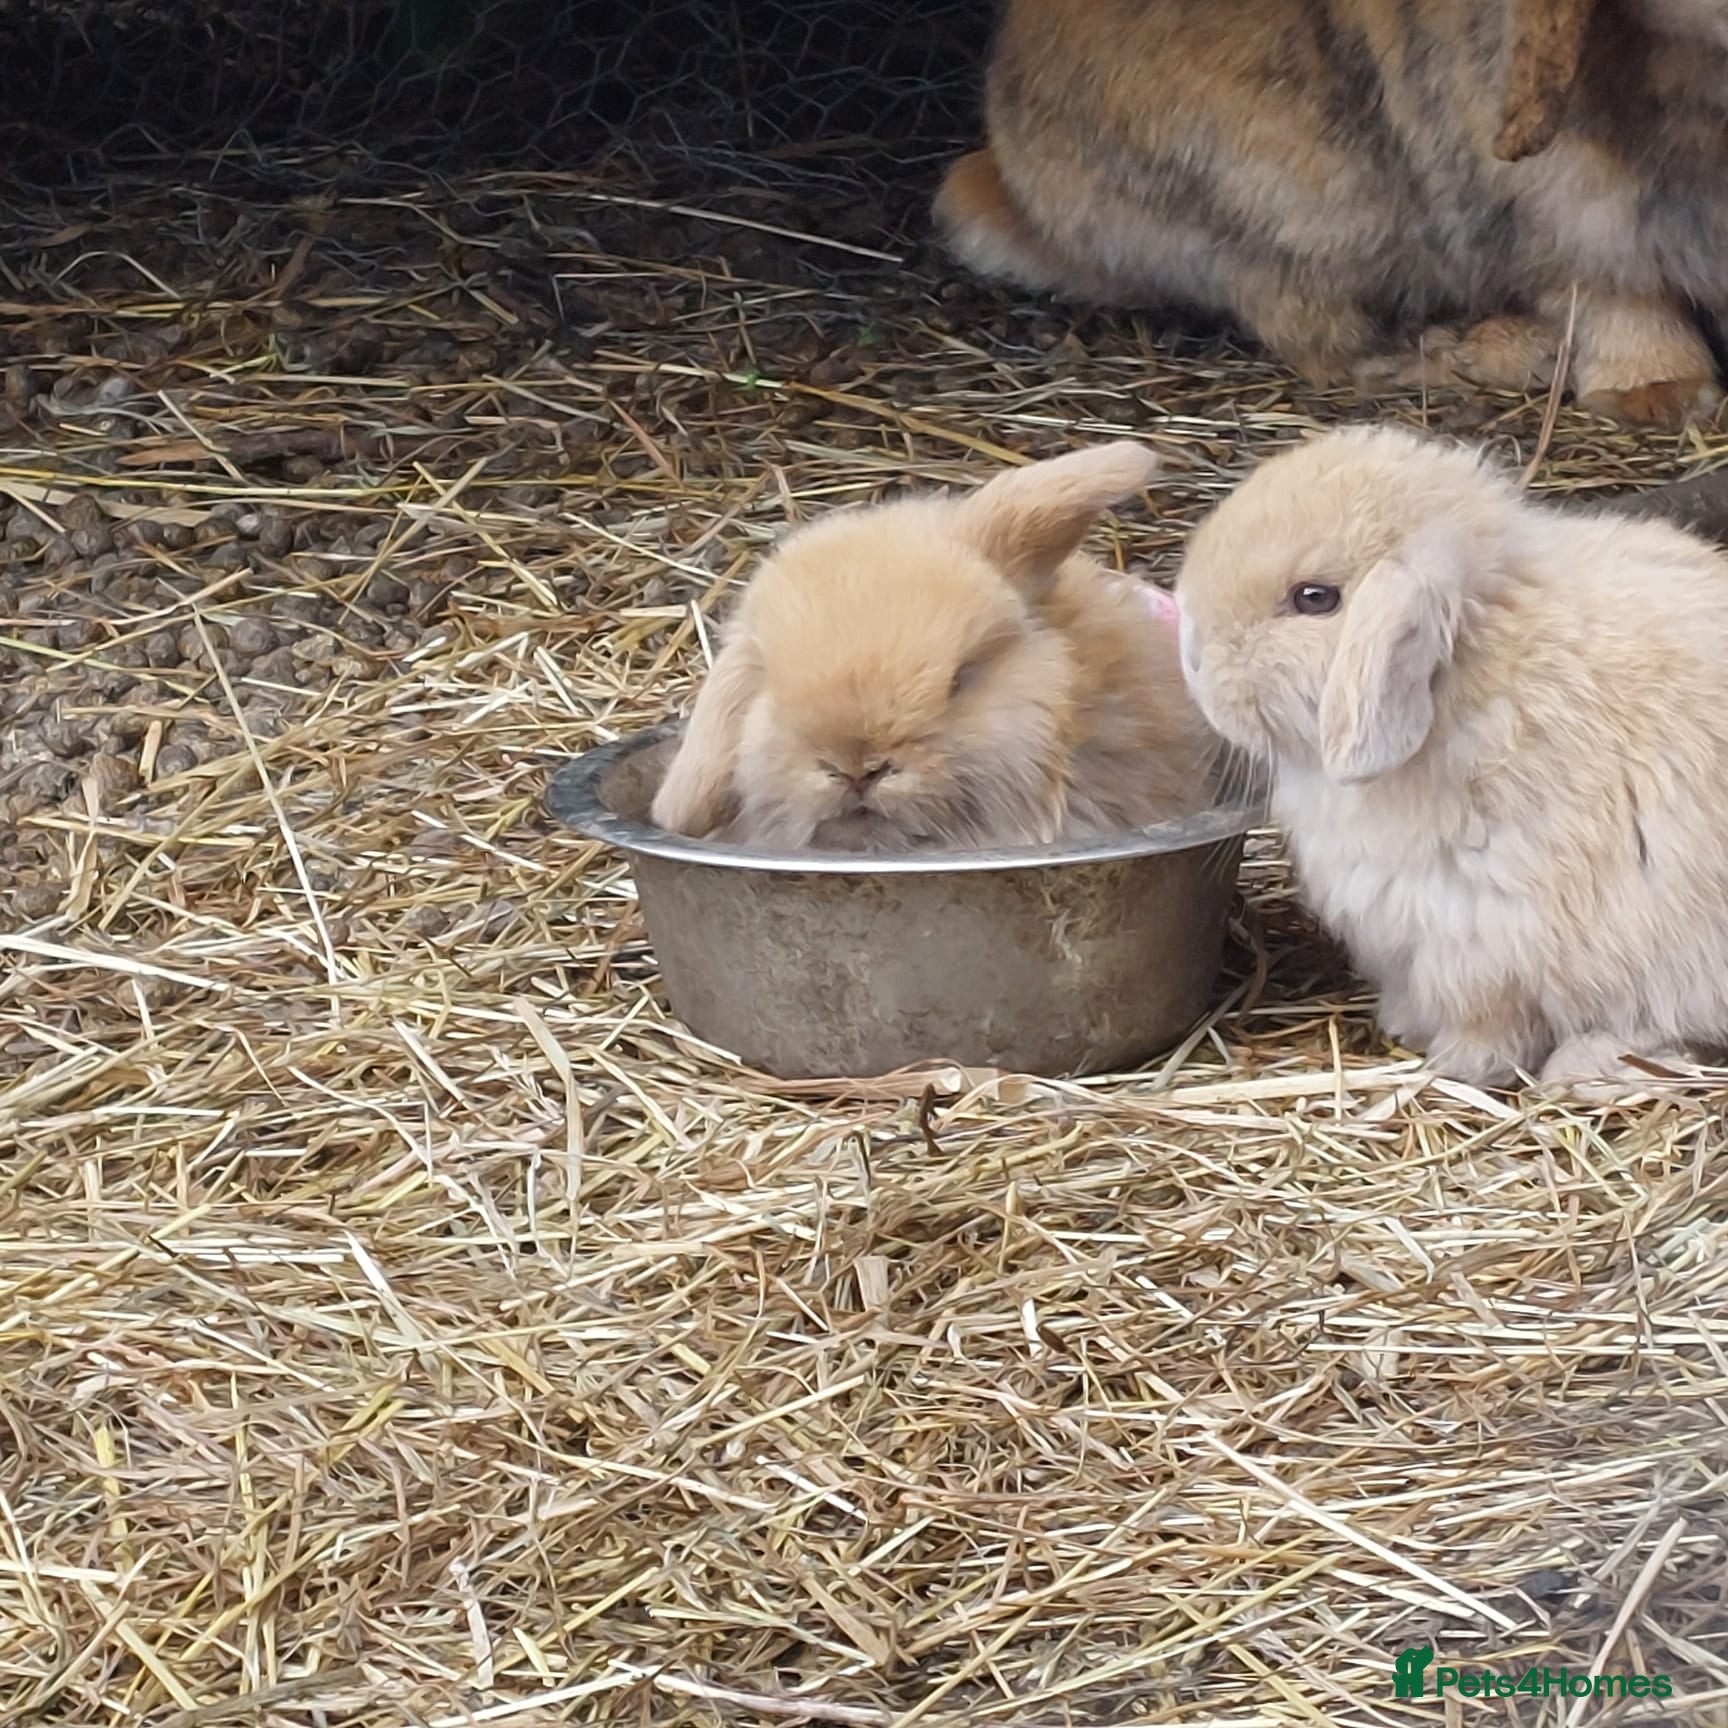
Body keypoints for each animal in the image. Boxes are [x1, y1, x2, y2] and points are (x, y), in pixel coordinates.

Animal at [933, 0, 1728, 429]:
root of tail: (1012, 177)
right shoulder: (1560, 200)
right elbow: (1610, 285)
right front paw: (1662, 394)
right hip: (1300, 213)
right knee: (1331, 345)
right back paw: (1504, 351)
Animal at [1173, 420, 1728, 1095]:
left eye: (1314, 598)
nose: (1191, 652)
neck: (1467, 676)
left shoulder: (1481, 937)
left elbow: (1492, 1020)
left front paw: (1460, 1061)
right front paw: (1404, 1023)